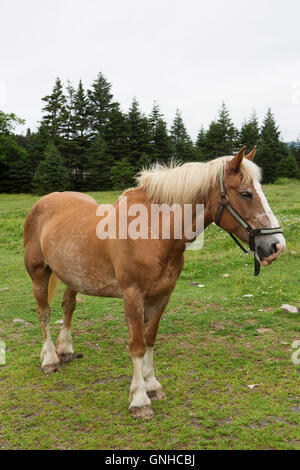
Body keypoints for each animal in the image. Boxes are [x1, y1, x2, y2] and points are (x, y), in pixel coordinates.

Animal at [22, 147, 284, 418]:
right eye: (245, 194)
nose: (276, 246)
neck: (151, 231)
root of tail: (43, 203)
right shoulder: (132, 296)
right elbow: (137, 345)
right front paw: (139, 400)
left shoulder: (161, 296)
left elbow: (150, 339)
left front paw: (152, 385)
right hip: (39, 274)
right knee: (44, 312)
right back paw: (50, 359)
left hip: (72, 277)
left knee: (68, 307)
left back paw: (65, 351)